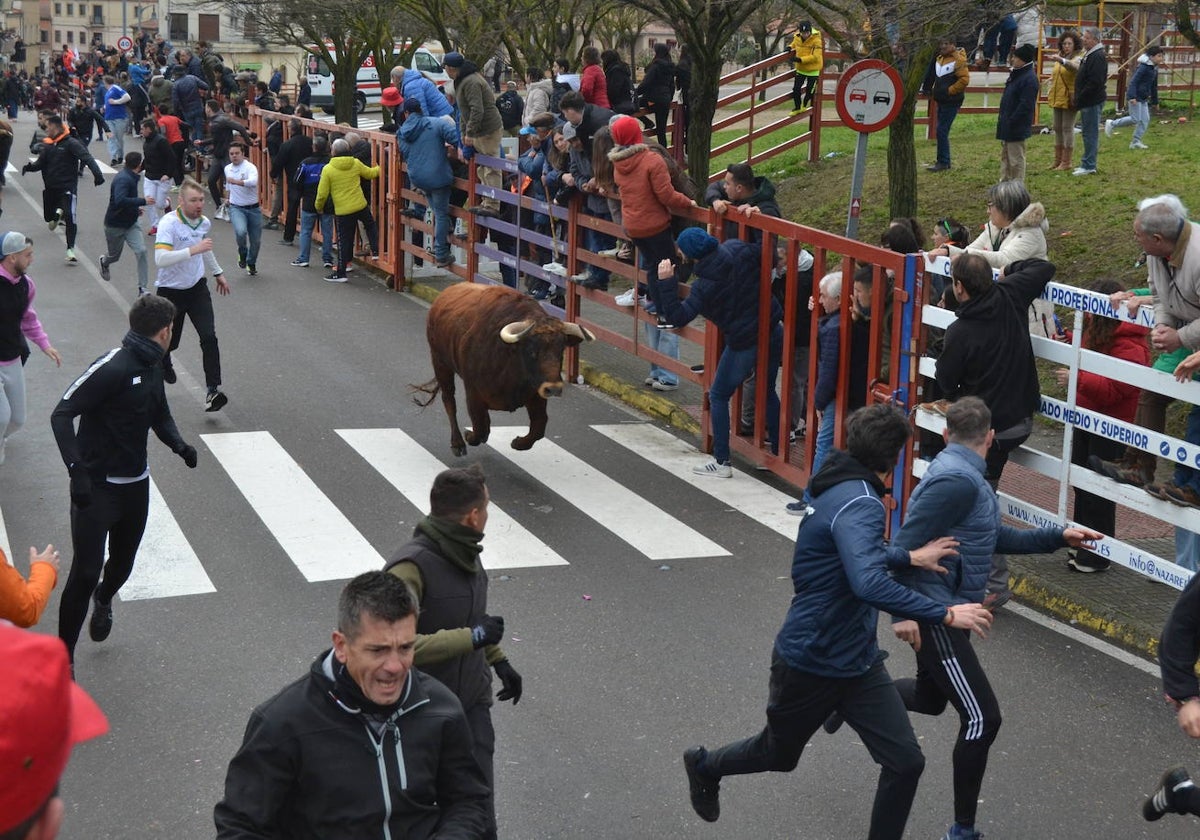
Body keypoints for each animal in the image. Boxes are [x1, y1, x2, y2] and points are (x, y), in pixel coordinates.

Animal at [415, 280, 597, 453]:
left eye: (561, 350)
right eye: (532, 350)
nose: (553, 389)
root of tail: (444, 295)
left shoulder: (536, 395)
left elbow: (539, 427)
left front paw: (519, 443)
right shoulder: (473, 393)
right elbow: (479, 428)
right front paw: (469, 436)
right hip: (440, 362)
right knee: (449, 400)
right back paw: (458, 443)